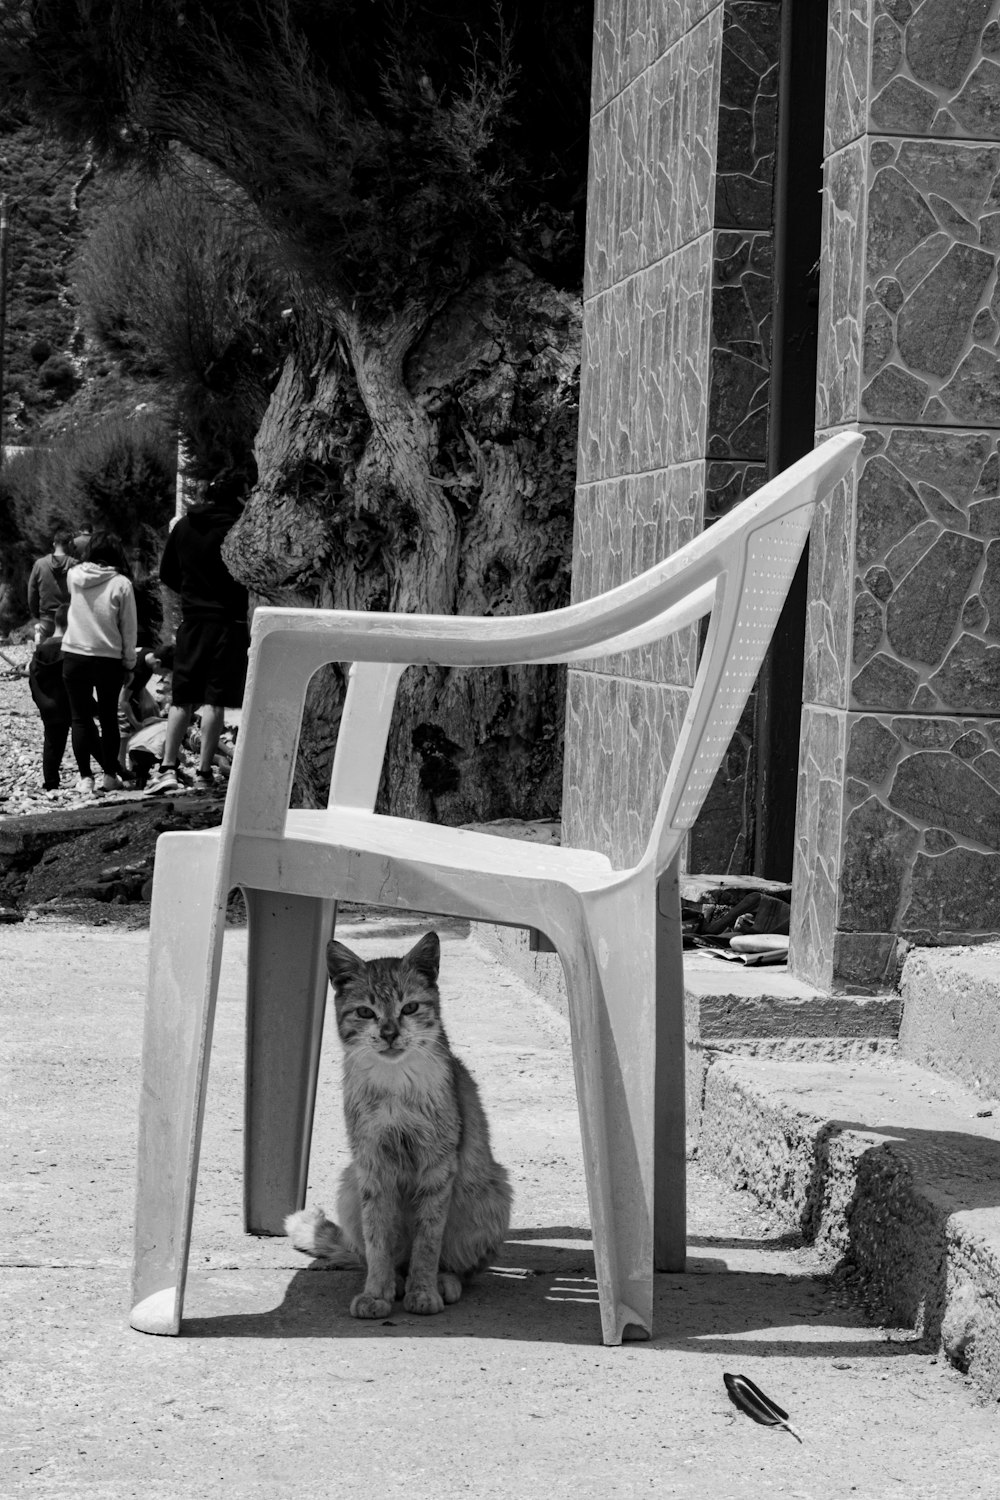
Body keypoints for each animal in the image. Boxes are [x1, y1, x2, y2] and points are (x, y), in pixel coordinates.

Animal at [287, 930, 509, 1320]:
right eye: (365, 1012)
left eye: (410, 1008)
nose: (389, 1033)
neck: (394, 1084)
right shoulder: (372, 1166)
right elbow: (378, 1240)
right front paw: (377, 1292)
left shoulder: (438, 1166)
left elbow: (428, 1241)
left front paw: (423, 1291)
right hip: (349, 1185)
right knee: (381, 1255)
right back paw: (396, 1281)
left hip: (491, 1193)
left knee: (461, 1267)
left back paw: (442, 1281)